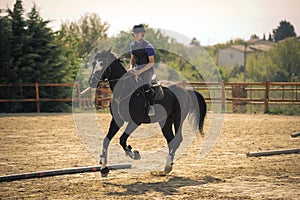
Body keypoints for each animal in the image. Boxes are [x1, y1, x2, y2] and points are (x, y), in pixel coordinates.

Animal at [88, 48, 207, 177]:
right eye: (93, 63)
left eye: (104, 64)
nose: (92, 81)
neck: (124, 90)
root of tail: (186, 91)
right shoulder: (117, 120)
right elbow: (106, 140)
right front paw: (104, 168)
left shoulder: (135, 121)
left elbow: (122, 139)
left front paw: (134, 153)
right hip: (165, 122)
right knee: (171, 140)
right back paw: (166, 168)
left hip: (178, 119)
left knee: (177, 139)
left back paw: (167, 166)